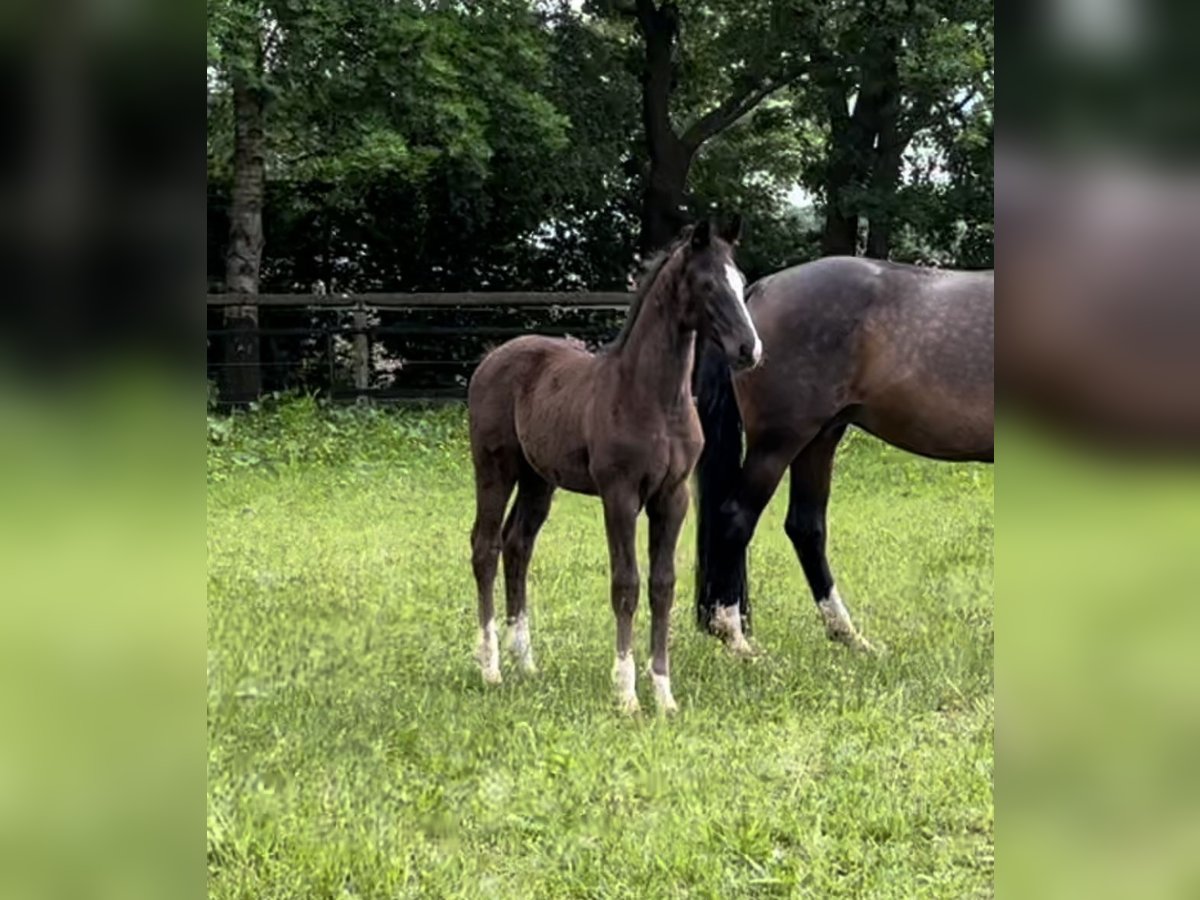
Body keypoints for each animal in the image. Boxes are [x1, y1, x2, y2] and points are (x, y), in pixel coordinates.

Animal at [468, 218, 758, 710]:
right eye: (707, 284)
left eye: (739, 281)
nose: (749, 349)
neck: (653, 398)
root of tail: (491, 358)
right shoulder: (619, 496)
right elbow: (626, 584)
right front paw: (626, 693)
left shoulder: (672, 497)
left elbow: (663, 585)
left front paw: (664, 693)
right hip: (495, 470)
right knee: (485, 547)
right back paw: (491, 668)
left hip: (538, 480)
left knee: (517, 545)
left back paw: (525, 662)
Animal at [696, 254, 993, 657]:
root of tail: (758, 291)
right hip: (779, 443)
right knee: (736, 518)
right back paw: (734, 637)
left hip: (820, 439)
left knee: (805, 528)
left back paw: (849, 636)